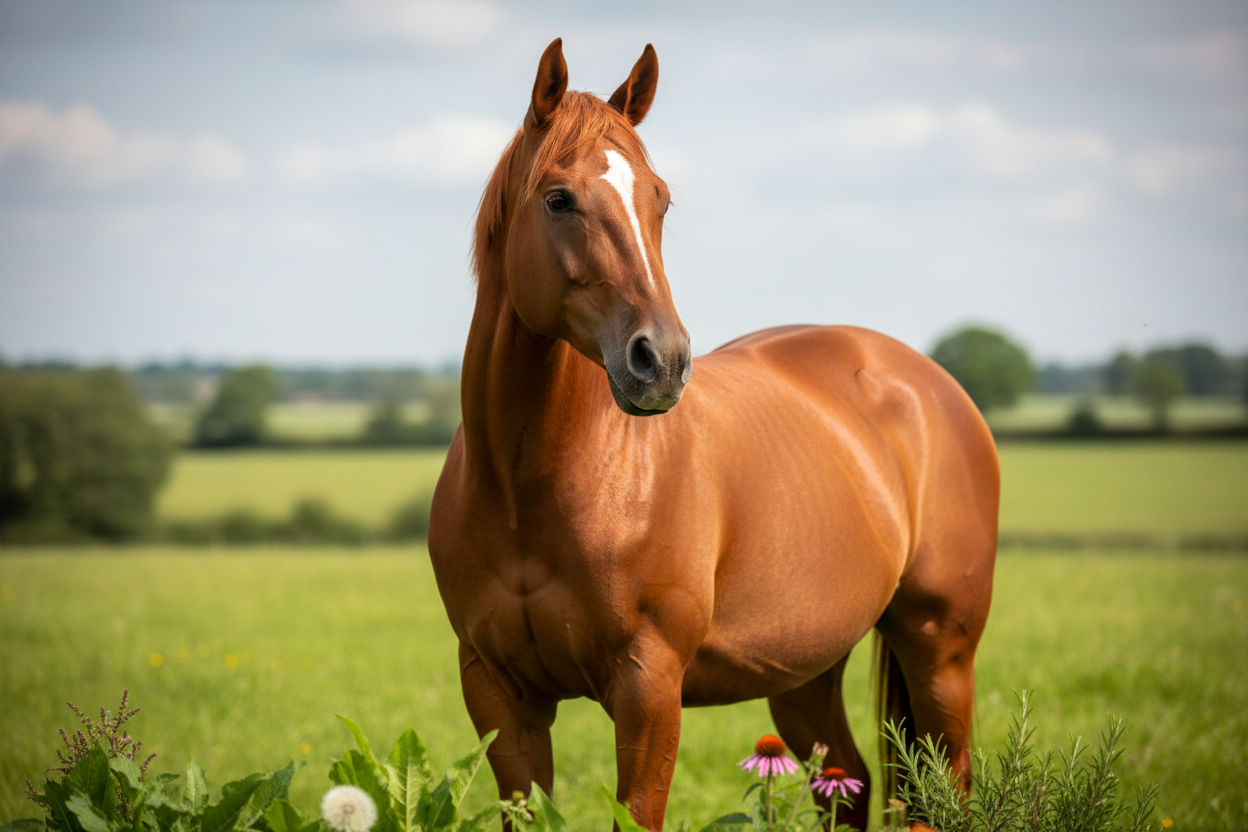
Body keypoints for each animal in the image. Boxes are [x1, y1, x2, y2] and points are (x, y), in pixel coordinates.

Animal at [428, 38, 998, 831]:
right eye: (558, 198)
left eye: (659, 199)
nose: (662, 360)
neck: (531, 486)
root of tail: (926, 381)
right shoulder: (498, 695)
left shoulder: (648, 690)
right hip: (806, 671)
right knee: (847, 782)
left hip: (940, 649)